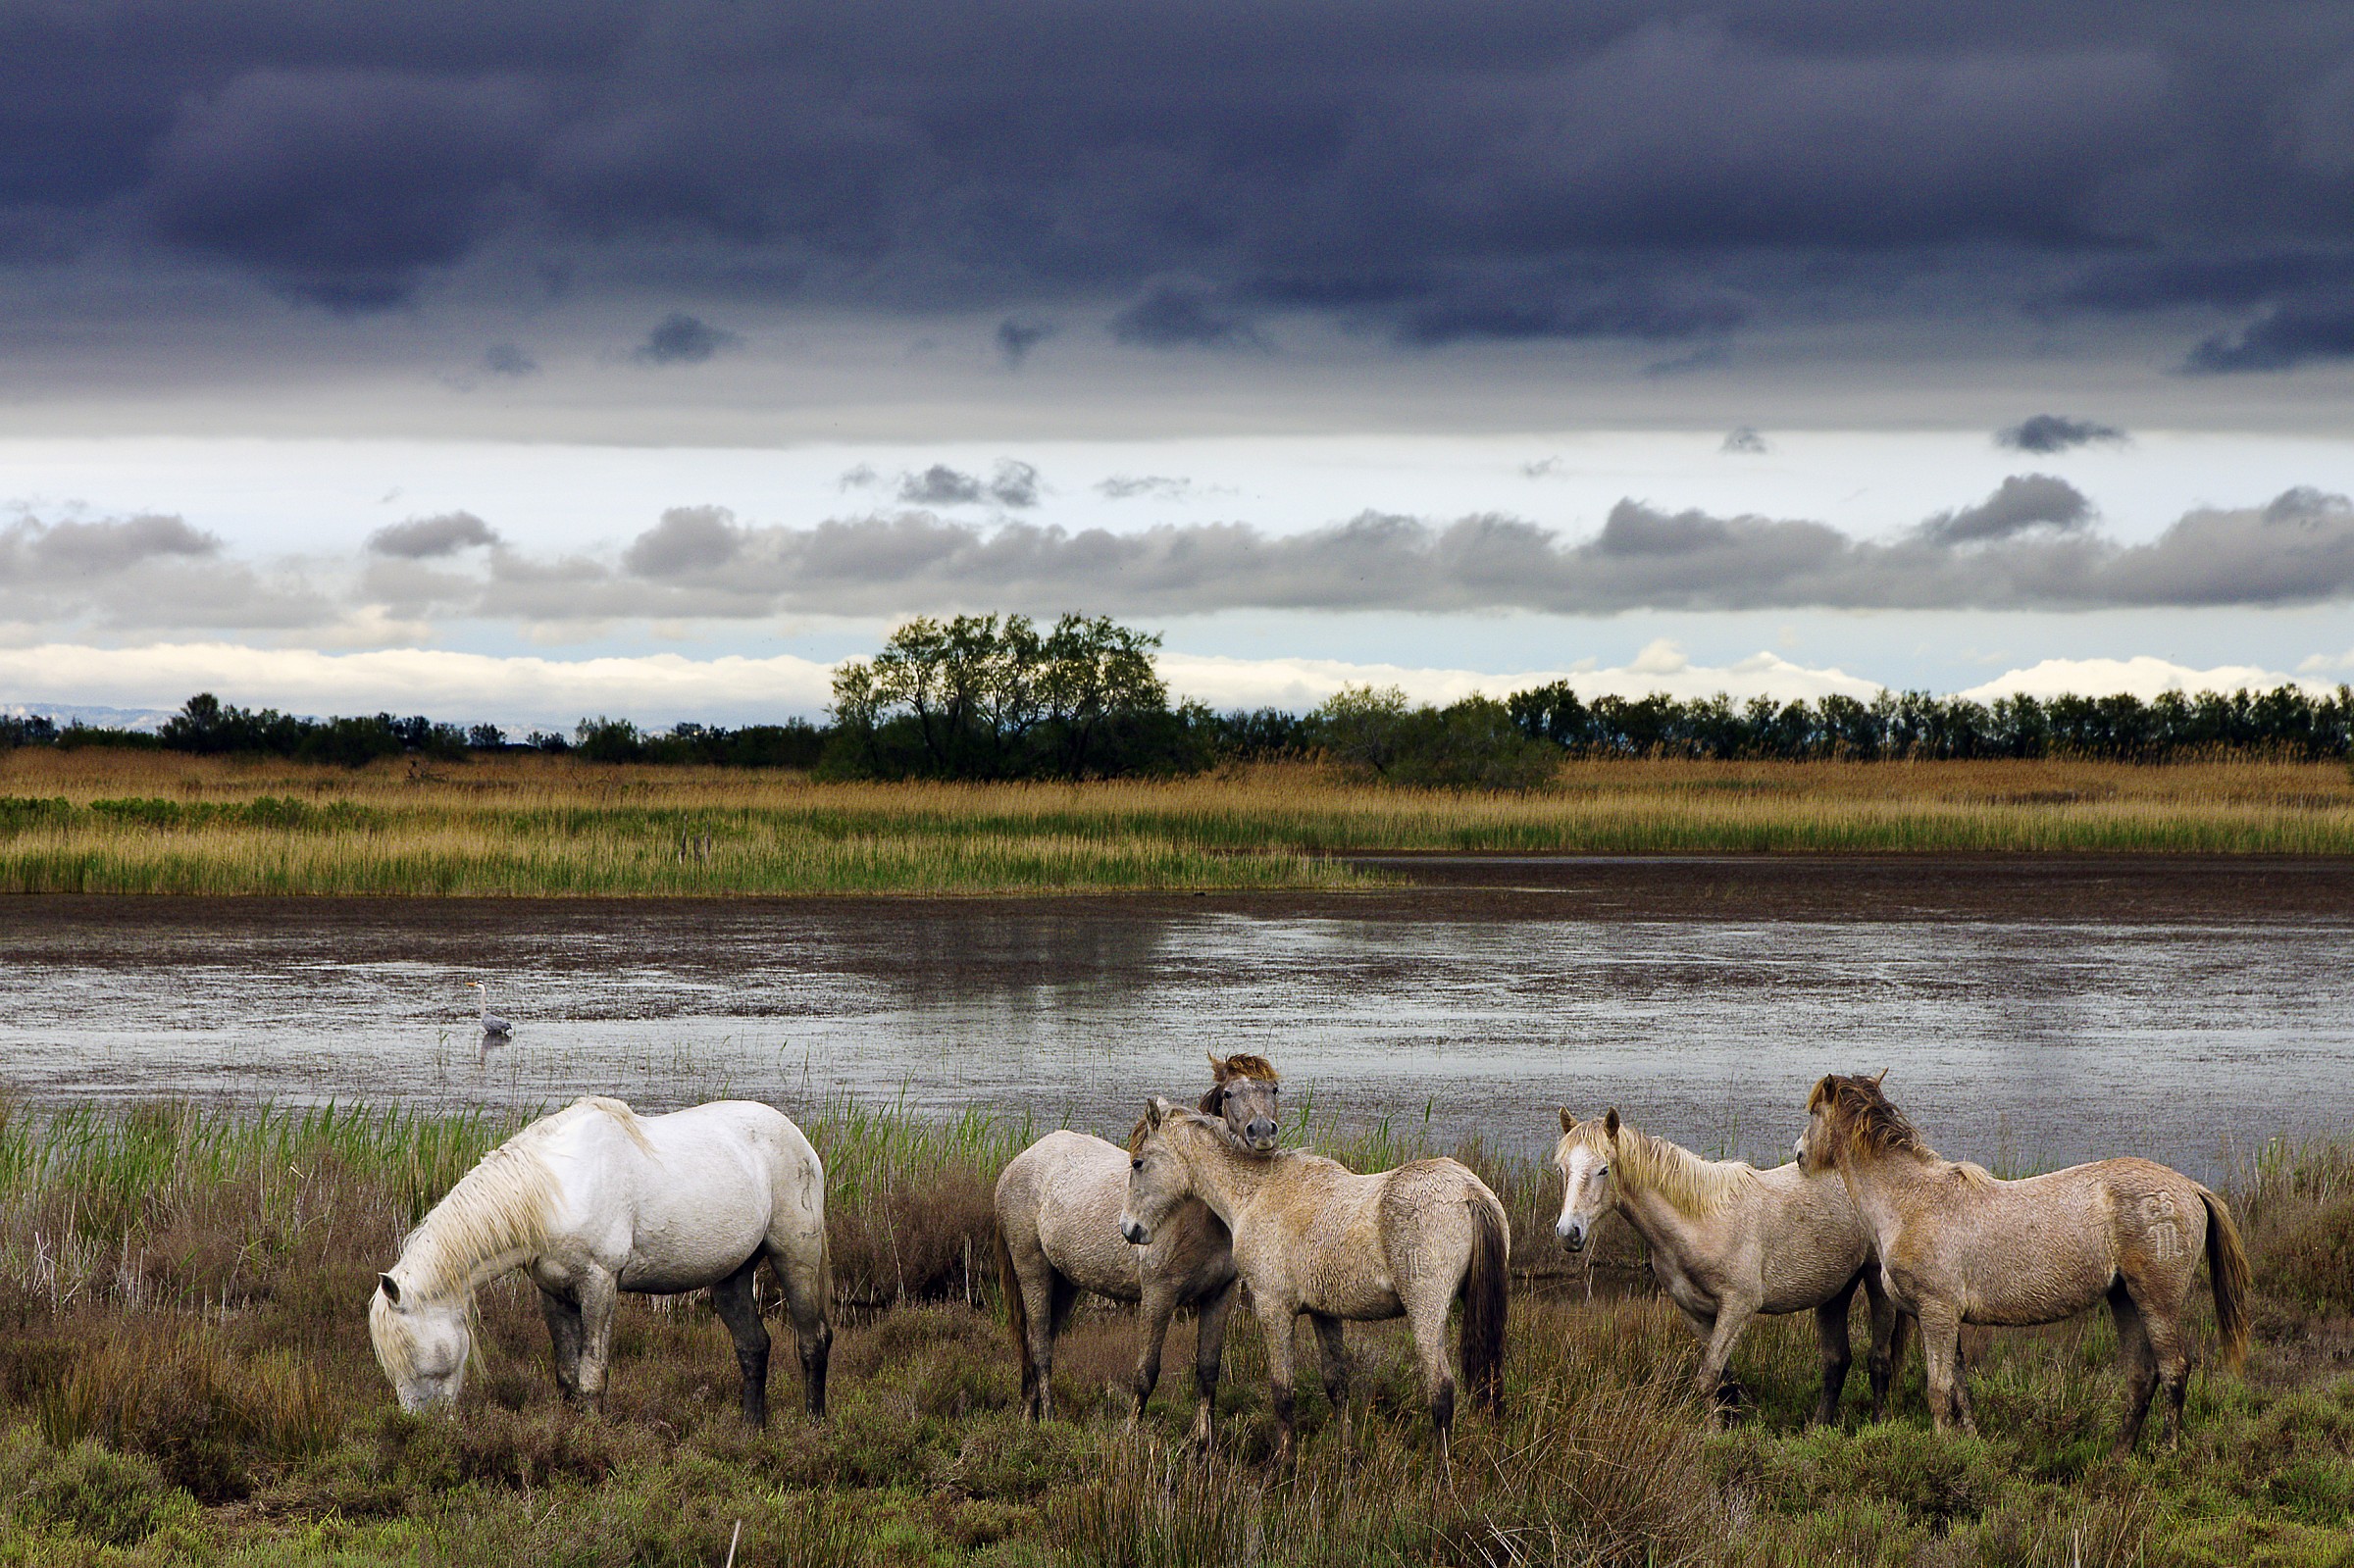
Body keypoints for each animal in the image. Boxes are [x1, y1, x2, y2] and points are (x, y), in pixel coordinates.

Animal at [369, 1096, 833, 1427]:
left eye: (414, 1357)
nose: (421, 1430)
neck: (555, 1191)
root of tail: (799, 1140)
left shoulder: (599, 1284)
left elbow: (592, 1376)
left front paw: (592, 1439)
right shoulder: (553, 1292)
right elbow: (567, 1376)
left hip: (796, 1256)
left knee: (813, 1341)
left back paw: (814, 1427)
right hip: (732, 1275)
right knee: (753, 1346)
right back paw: (752, 1430)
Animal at [994, 1053, 1282, 1441]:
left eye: (1273, 1089)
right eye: (1229, 1093)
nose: (1262, 1132)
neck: (1194, 1211)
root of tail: (1018, 1163)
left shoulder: (1219, 1296)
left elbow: (1208, 1371)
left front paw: (1203, 1443)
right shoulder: (1159, 1295)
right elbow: (1146, 1372)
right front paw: (1130, 1435)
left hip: (1065, 1283)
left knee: (1041, 1342)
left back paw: (1028, 1418)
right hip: (1033, 1271)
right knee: (1039, 1346)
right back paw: (1050, 1419)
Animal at [1120, 1097, 1508, 1469]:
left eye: (1138, 1163)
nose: (1129, 1229)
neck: (1258, 1193)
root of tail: (1469, 1191)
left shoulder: (1274, 1309)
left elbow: (1282, 1389)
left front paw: (1284, 1463)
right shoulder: (1325, 1313)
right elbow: (1337, 1384)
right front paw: (1347, 1454)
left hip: (1425, 1313)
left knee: (1442, 1390)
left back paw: (1441, 1472)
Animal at [1553, 1107, 1910, 1426]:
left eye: (1603, 1170)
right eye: (1561, 1170)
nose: (1569, 1232)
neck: (1701, 1222)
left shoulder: (1738, 1307)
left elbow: (1708, 1378)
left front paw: (1712, 1435)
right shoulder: (1695, 1312)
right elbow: (1722, 1381)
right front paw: (1725, 1431)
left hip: (1874, 1280)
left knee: (1879, 1359)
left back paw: (1879, 1424)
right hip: (1835, 1289)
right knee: (1836, 1360)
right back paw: (1818, 1429)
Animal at [1798, 1073, 2250, 1453]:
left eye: (1813, 1113)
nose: (1800, 1155)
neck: (1912, 1200)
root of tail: (2190, 1188)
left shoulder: (1936, 1313)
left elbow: (1939, 1390)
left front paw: (1942, 1449)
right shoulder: (1950, 1318)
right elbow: (1961, 1388)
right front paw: (1970, 1444)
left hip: (2157, 1301)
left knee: (2174, 1370)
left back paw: (2167, 1452)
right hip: (2124, 1299)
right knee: (2141, 1376)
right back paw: (2119, 1455)